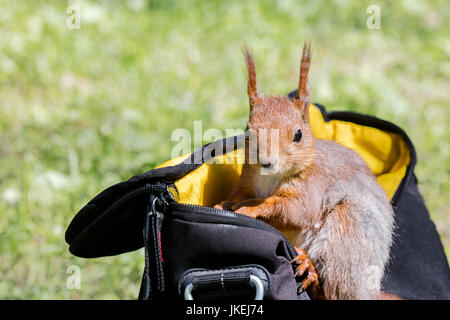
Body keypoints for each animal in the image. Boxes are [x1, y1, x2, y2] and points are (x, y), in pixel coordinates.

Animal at [214, 41, 394, 298]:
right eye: (248, 131)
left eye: (298, 134)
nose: (267, 162)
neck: (270, 178)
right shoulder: (247, 180)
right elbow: (240, 196)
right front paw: (223, 204)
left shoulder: (311, 188)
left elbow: (295, 210)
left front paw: (251, 208)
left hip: (348, 231)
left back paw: (309, 266)